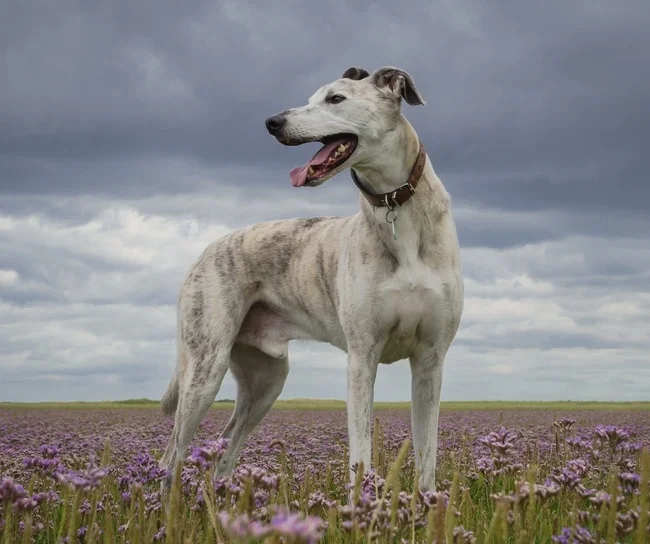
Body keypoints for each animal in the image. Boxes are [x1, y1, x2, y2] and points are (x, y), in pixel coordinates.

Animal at [159, 66, 464, 490]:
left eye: (336, 98)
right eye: (310, 98)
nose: (272, 122)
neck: (394, 206)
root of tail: (206, 252)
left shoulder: (430, 361)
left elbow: (427, 459)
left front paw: (428, 504)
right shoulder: (362, 358)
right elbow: (361, 455)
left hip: (265, 382)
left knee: (225, 449)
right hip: (205, 368)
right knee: (171, 455)